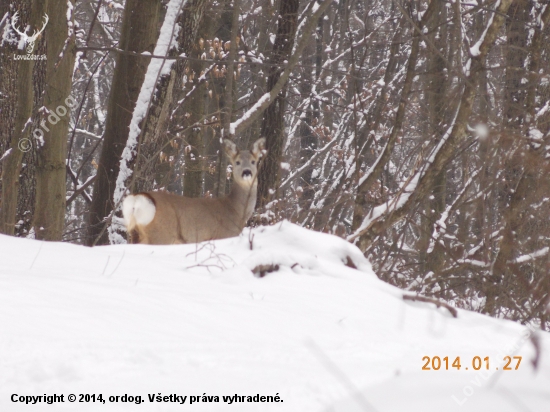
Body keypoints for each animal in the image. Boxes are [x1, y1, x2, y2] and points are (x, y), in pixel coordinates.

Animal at [122, 138, 268, 245]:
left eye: (253, 161)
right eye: (237, 162)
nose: (247, 172)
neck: (237, 211)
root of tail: (138, 198)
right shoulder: (224, 235)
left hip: (137, 234)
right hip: (161, 233)